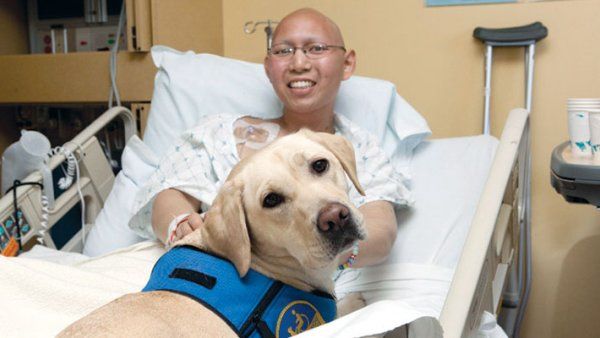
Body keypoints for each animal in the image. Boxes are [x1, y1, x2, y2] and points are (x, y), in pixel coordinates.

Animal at [59, 130, 366, 338]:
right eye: (271, 200)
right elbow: (343, 312)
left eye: (320, 165)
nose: (334, 218)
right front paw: (356, 301)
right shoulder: (315, 322)